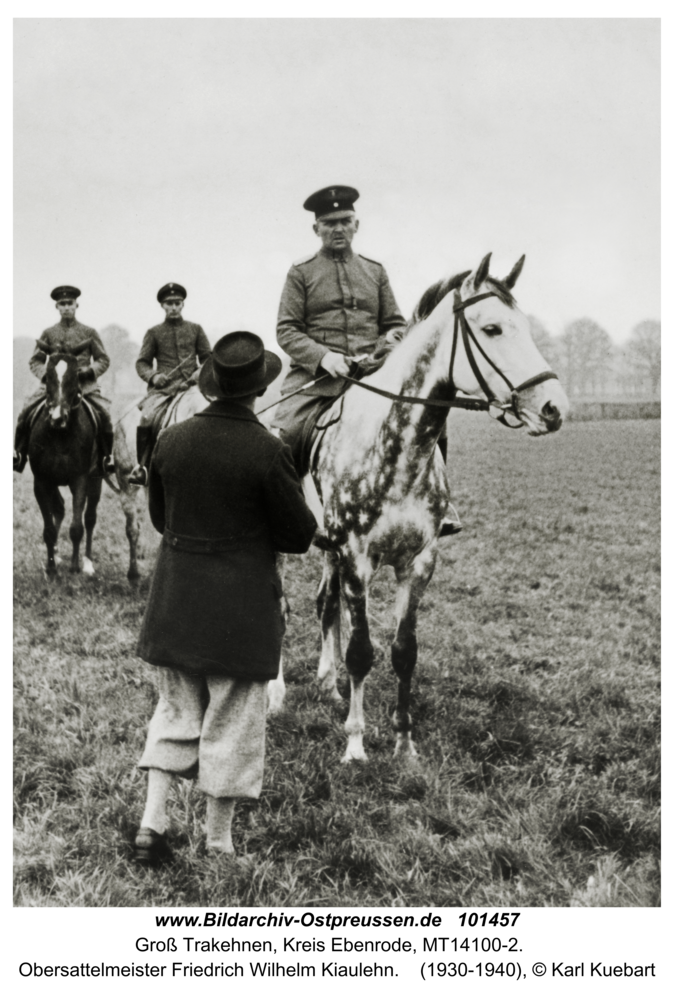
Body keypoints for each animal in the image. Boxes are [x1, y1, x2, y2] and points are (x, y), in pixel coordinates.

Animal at [28, 344, 103, 580]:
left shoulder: (80, 480)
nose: (57, 418)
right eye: (49, 376)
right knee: (59, 508)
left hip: (96, 479)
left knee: (90, 518)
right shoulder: (42, 481)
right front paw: (52, 568)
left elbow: (77, 527)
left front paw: (75, 566)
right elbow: (49, 529)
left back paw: (87, 563)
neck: (60, 435)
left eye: (74, 377)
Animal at [268, 254, 568, 760]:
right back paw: (275, 695)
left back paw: (329, 685)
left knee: (325, 605)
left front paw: (404, 745)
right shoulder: (357, 559)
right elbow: (362, 652)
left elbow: (403, 651)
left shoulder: (419, 561)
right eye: (491, 329)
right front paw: (355, 745)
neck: (394, 448)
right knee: (283, 610)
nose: (553, 408)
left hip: (329, 550)